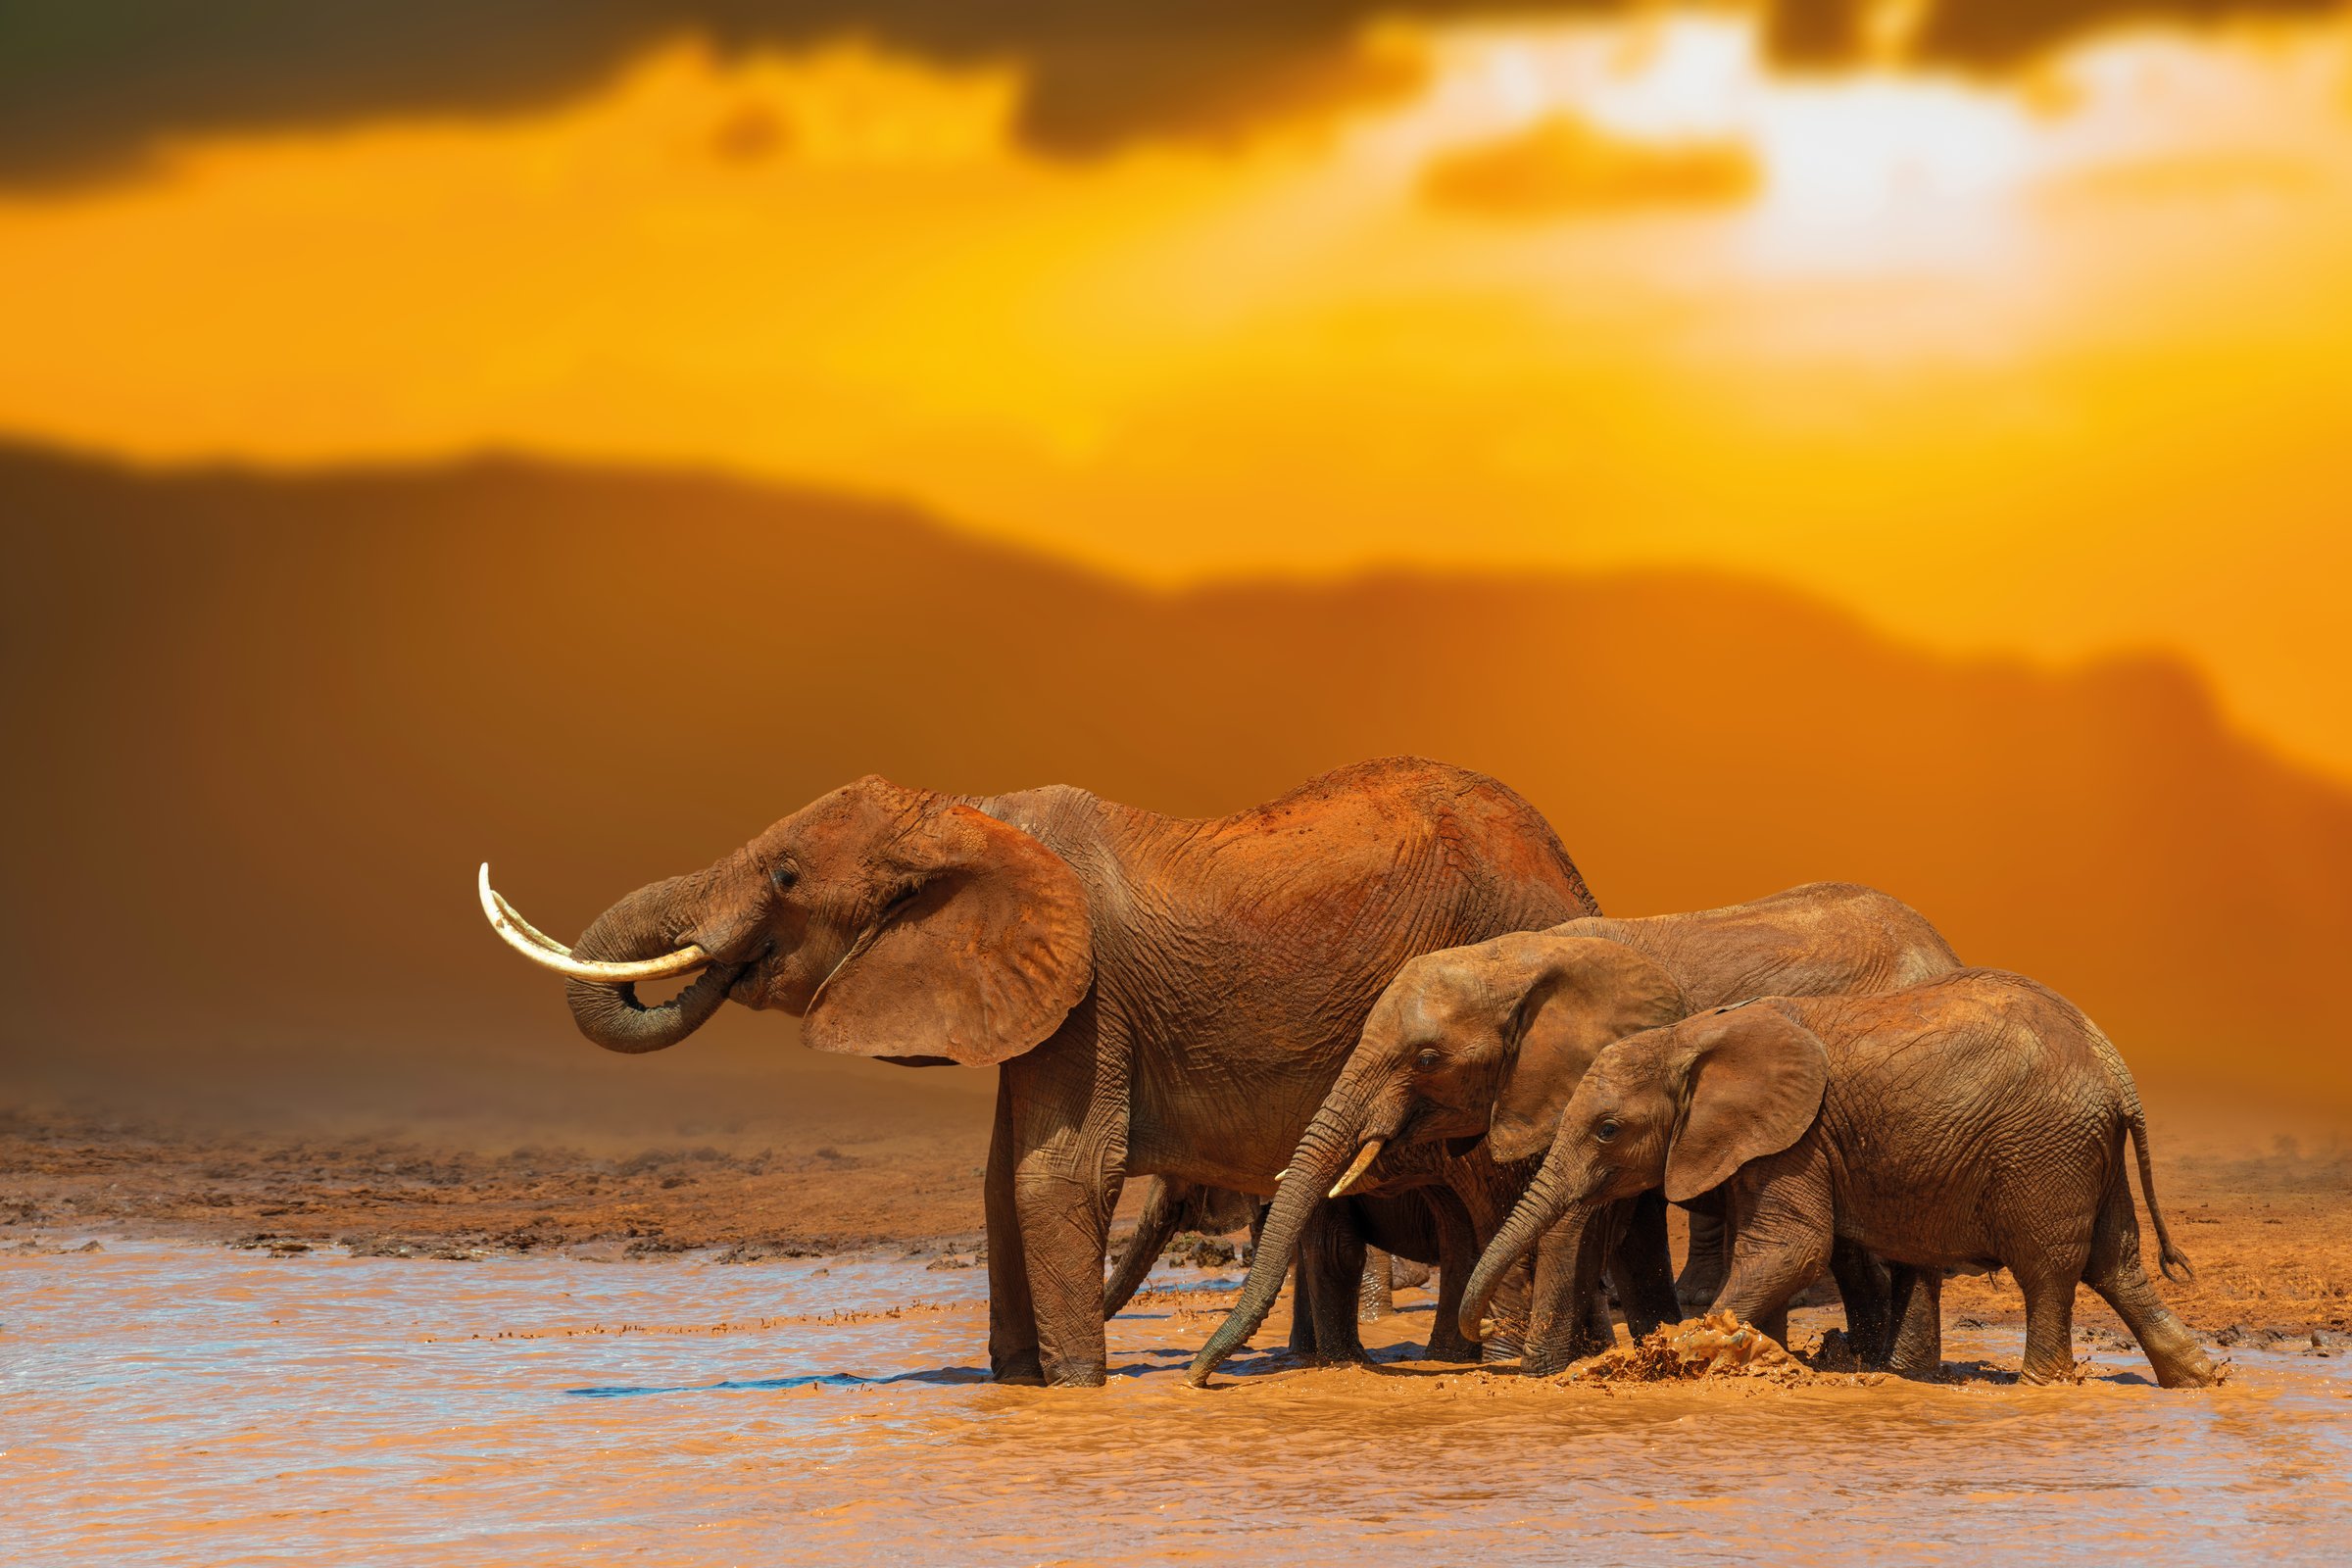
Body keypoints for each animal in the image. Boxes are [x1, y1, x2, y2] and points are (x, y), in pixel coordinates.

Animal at [479, 756, 1598, 1387]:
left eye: (787, 878)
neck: (968, 814)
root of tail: (1572, 872)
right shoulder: (1031, 996)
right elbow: (994, 1184)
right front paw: (1013, 1386)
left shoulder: (1094, 993)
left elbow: (1054, 1177)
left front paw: (1069, 1393)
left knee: (1485, 1182)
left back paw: (1498, 1365)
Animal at [1187, 881, 1962, 1382]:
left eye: (1427, 1059)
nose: (1196, 1378)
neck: (1512, 960)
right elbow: (1617, 1226)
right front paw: (1634, 1349)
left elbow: (1569, 1220)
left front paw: (1529, 1367)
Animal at [1458, 969, 2220, 1389]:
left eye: (1607, 1130)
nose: (1483, 1332)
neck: (1688, 1038)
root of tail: (2116, 1069)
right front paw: (1760, 1355)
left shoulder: (1795, 1137)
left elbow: (1791, 1249)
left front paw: (1693, 1353)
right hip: (2080, 1147)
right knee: (2116, 1262)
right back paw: (2201, 1378)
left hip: (2044, 1148)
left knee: (2049, 1268)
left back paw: (2042, 1388)